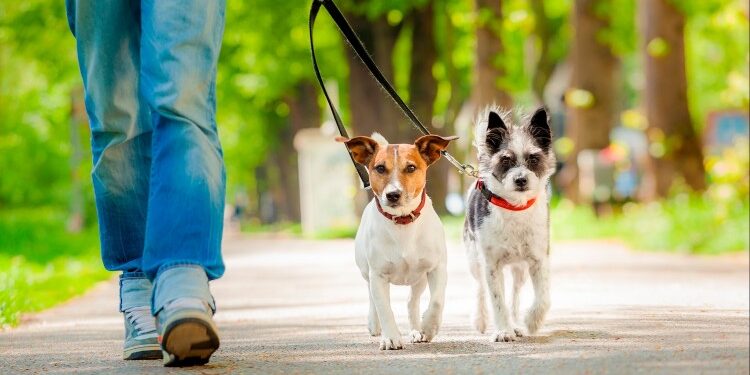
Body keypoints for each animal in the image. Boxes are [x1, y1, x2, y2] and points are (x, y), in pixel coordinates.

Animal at [340, 134, 458, 352]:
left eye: (411, 167)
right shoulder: (378, 275)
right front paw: (391, 338)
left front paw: (429, 326)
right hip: (366, 272)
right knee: (372, 297)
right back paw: (374, 324)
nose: (393, 194)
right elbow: (384, 308)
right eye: (379, 168)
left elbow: (437, 301)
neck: (403, 223)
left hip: (419, 279)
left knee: (412, 301)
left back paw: (416, 330)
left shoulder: (437, 268)